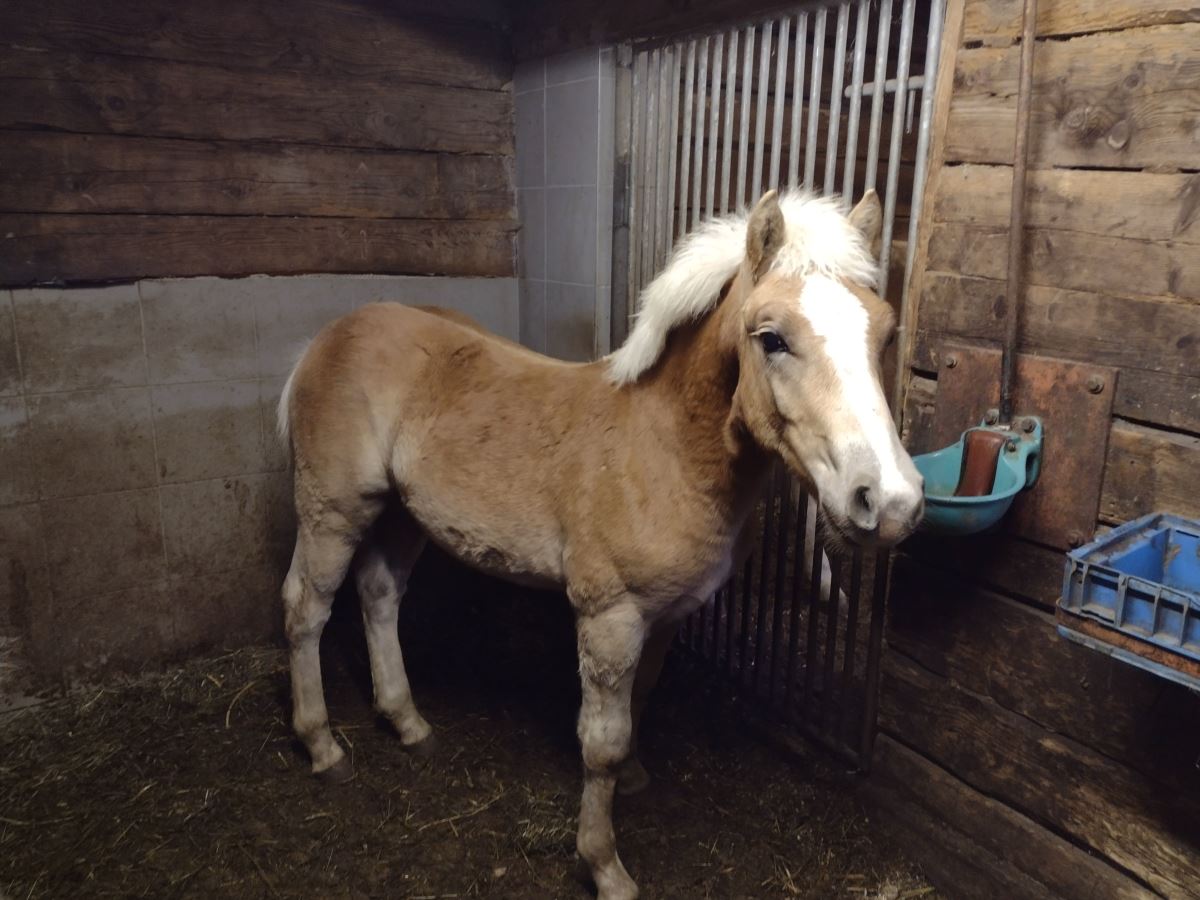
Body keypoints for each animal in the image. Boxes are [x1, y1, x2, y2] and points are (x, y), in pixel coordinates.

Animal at [276, 187, 921, 897]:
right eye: (772, 338)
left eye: (886, 331)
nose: (889, 500)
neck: (666, 448)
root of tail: (329, 336)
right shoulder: (610, 617)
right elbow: (601, 741)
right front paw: (604, 865)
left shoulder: (666, 615)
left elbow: (639, 703)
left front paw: (634, 779)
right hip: (336, 509)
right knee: (306, 606)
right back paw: (323, 746)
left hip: (400, 513)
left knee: (379, 594)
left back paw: (408, 722)